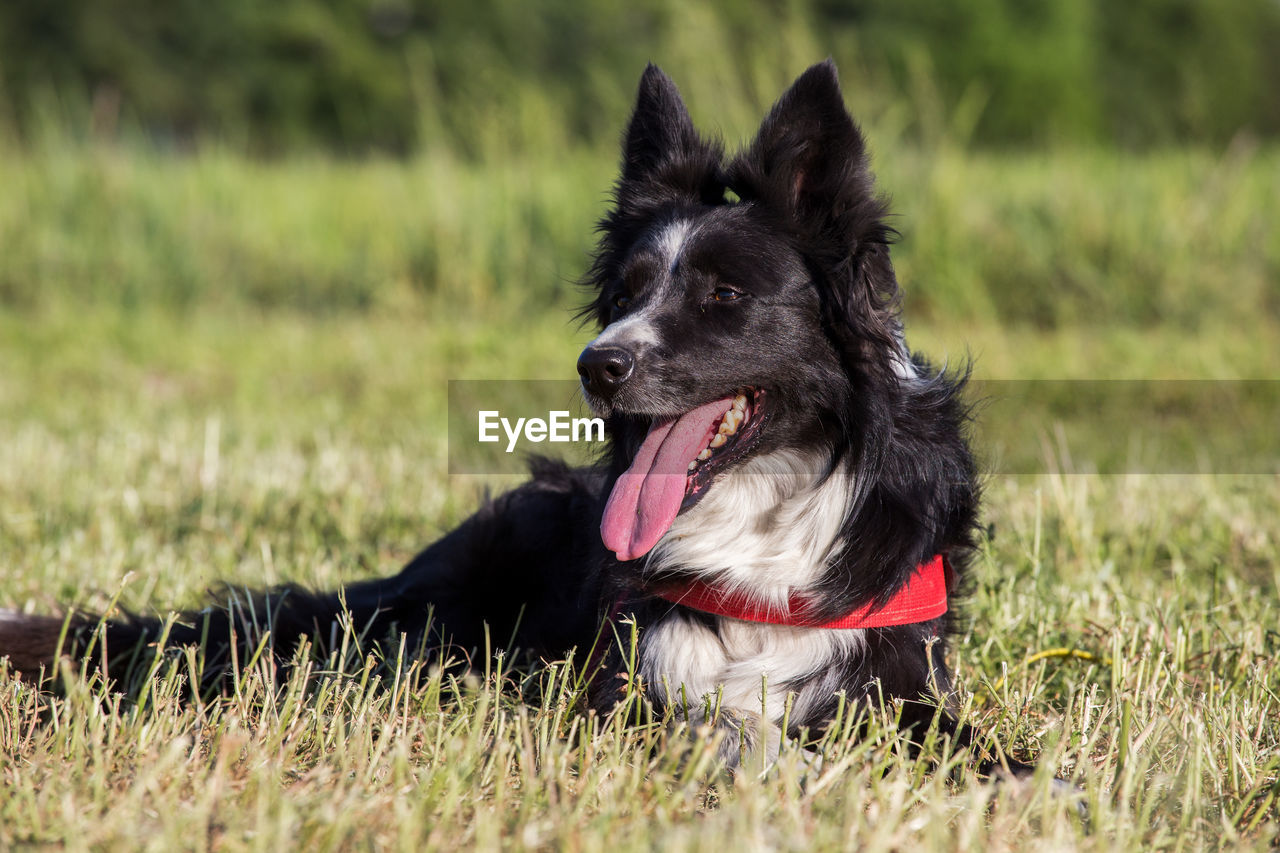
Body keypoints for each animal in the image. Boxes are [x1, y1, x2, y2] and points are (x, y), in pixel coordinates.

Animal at [0, 61, 1018, 768]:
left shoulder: (898, 678)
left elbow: (977, 751)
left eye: (726, 296)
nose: (599, 366)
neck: (762, 521)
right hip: (426, 627)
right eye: (627, 293)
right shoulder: (620, 688)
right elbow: (726, 726)